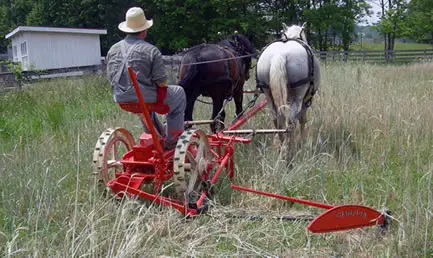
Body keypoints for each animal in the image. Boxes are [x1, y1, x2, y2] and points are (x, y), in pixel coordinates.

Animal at [255, 22, 318, 163]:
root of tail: (280, 55)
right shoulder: (305, 101)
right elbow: (302, 120)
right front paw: (302, 144)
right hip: (299, 96)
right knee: (290, 122)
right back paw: (290, 153)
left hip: (268, 93)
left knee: (277, 120)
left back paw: (282, 149)